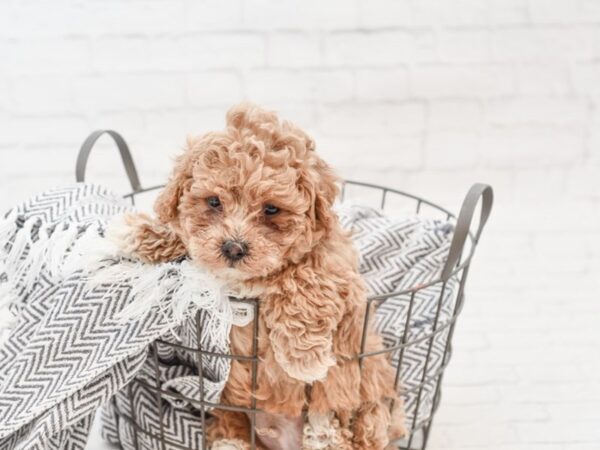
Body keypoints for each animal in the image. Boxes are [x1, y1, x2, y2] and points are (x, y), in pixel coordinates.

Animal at [110, 103, 406, 448]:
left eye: (271, 209)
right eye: (214, 201)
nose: (233, 248)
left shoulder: (337, 265)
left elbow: (306, 276)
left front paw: (304, 360)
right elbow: (184, 240)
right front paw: (133, 231)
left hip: (369, 396)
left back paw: (324, 431)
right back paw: (231, 443)